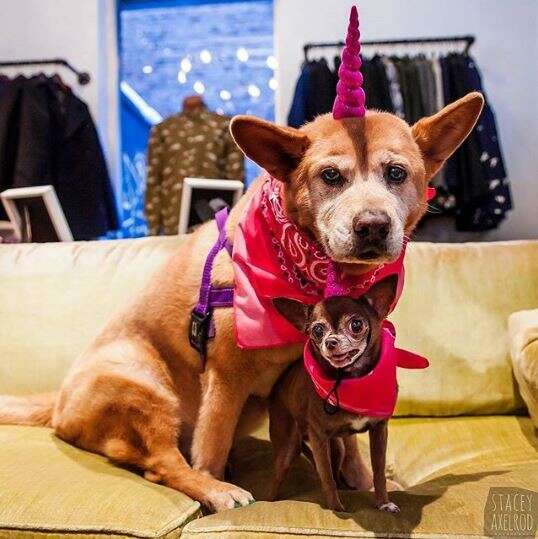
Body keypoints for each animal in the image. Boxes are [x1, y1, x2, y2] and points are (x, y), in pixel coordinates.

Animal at [0, 92, 482, 510]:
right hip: (144, 389)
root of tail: (58, 405)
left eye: (396, 173)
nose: (372, 226)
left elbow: (349, 443)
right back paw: (214, 490)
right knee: (163, 462)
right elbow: (209, 448)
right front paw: (215, 487)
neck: (314, 277)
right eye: (331, 176)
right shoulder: (226, 380)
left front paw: (364, 483)